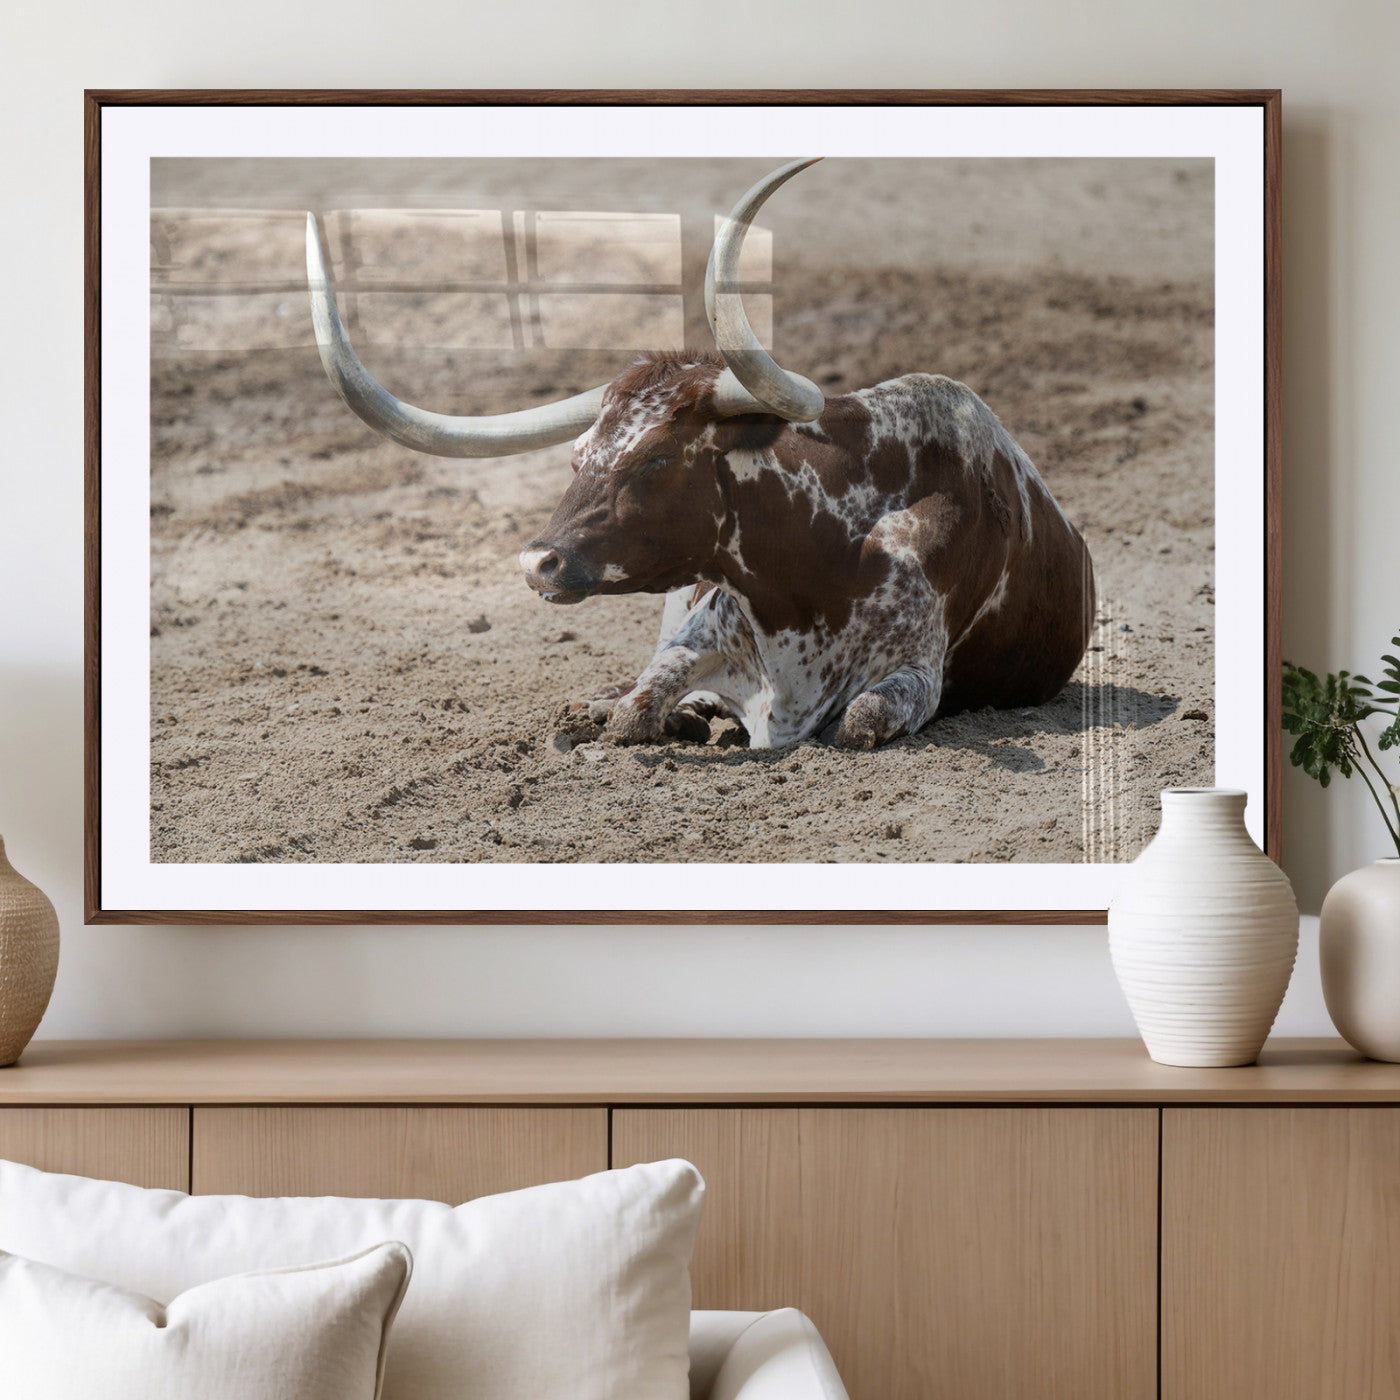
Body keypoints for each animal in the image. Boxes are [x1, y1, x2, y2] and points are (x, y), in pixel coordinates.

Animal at [306, 158, 1095, 750]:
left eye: (656, 459)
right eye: (579, 456)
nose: (538, 562)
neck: (821, 562)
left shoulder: (916, 675)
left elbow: (860, 720)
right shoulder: (698, 630)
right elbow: (638, 706)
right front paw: (641, 712)